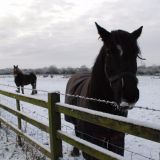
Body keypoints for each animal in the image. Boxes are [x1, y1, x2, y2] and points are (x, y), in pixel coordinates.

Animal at [65, 22, 142, 159]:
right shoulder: (91, 143)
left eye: (136, 53)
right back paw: (75, 151)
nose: (130, 95)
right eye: (109, 51)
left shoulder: (117, 141)